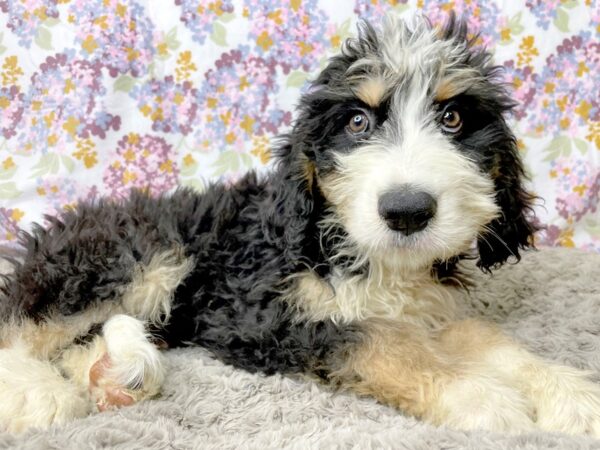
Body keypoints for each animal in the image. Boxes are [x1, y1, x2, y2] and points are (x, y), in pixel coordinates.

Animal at [1, 14, 600, 436]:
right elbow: (378, 343)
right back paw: (42, 394)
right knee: (23, 328)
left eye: (452, 117)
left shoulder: (424, 313)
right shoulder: (260, 315)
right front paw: (479, 396)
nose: (407, 210)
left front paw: (568, 393)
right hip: (135, 253)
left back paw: (114, 376)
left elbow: (483, 338)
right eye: (356, 122)